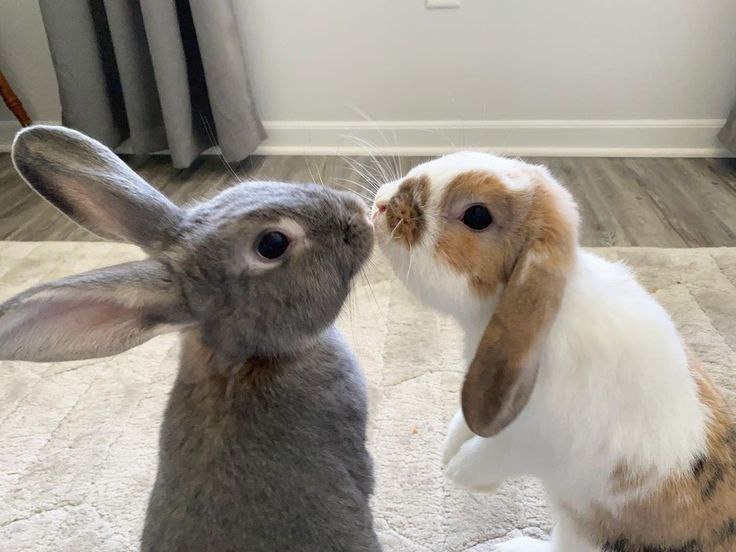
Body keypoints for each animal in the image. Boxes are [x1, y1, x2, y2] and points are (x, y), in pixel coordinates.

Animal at [370, 151, 736, 552]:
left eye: (477, 215)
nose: (381, 204)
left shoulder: (533, 440)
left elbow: (489, 454)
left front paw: (457, 469)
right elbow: (463, 423)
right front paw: (449, 449)